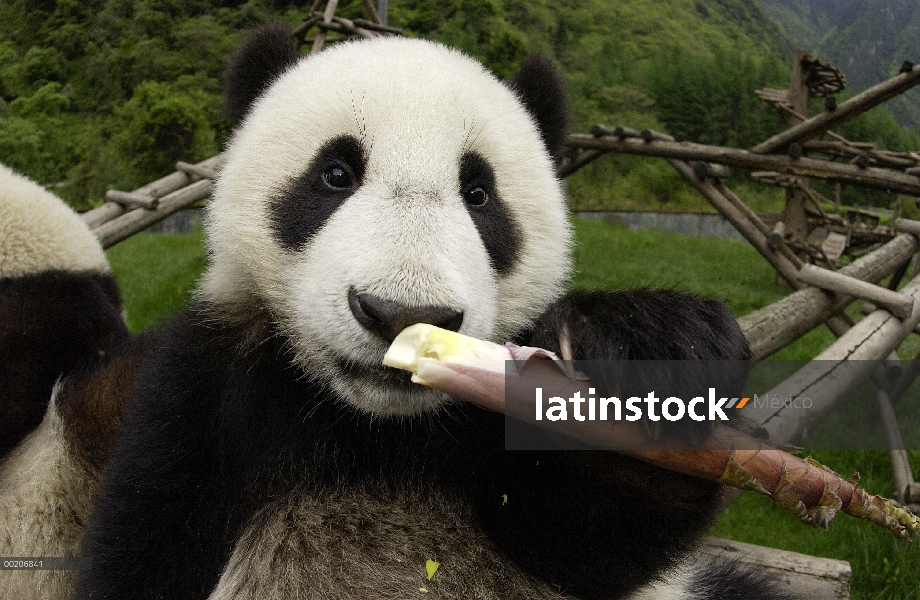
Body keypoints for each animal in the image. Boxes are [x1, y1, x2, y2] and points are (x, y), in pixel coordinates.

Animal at [1, 25, 792, 600]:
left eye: (479, 193)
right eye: (335, 174)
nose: (398, 314)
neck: (374, 430)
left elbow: (590, 533)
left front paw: (653, 356)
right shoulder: (205, 395)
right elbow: (147, 547)